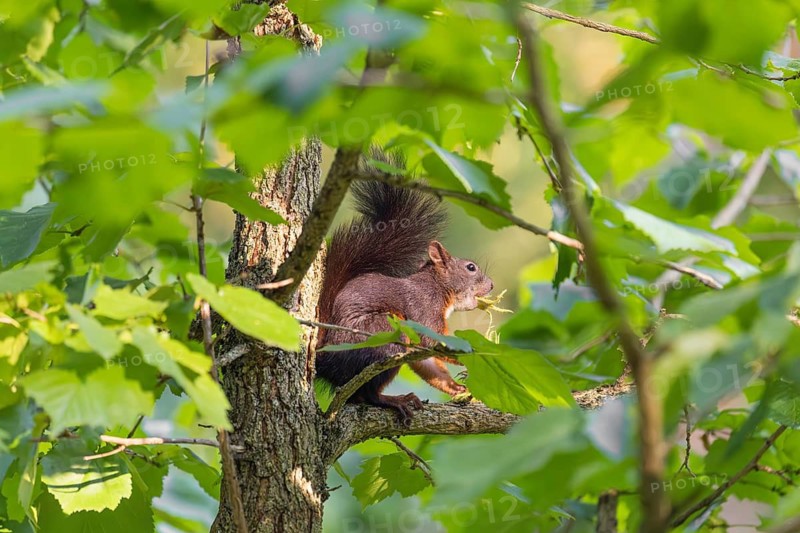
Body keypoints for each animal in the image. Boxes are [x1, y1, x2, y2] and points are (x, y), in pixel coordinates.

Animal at [315, 152, 494, 424]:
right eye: (471, 267)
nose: (492, 285)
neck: (438, 287)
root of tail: (326, 358)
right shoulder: (424, 308)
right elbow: (433, 341)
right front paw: (469, 354)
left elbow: (427, 363)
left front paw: (457, 388)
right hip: (385, 335)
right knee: (368, 393)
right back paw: (394, 400)